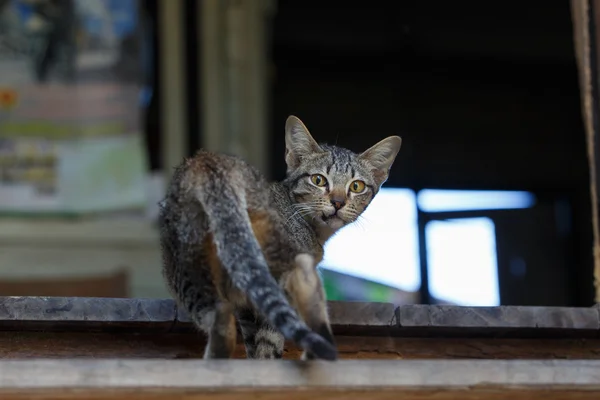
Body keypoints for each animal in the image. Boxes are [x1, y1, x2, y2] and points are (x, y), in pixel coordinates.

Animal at [159, 115, 404, 360]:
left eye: (356, 186)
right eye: (318, 180)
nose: (338, 202)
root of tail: (209, 164)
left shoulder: (246, 306)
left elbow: (252, 343)